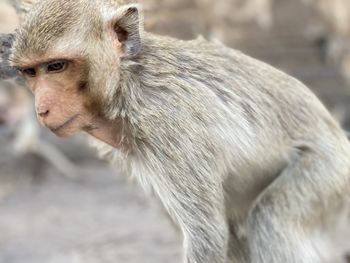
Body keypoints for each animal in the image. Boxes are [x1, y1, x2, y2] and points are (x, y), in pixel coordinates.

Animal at [8, 0, 350, 262]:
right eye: (31, 72)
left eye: (56, 66)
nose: (41, 109)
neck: (126, 83)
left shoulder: (168, 124)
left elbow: (207, 236)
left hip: (329, 171)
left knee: (270, 217)